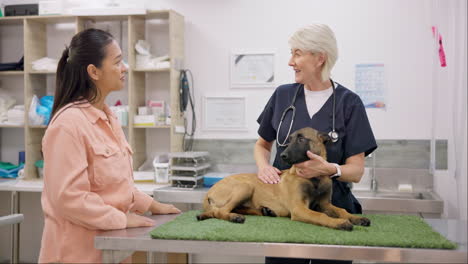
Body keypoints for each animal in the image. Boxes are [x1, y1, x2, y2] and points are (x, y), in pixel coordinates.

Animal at [196, 127, 372, 230]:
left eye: (301, 139)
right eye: (289, 140)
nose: (283, 155)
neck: (314, 178)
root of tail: (208, 193)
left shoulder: (325, 204)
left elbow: (342, 210)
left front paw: (356, 218)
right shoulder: (299, 208)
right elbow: (320, 216)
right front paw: (340, 222)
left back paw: (266, 211)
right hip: (245, 186)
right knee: (220, 211)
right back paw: (235, 217)